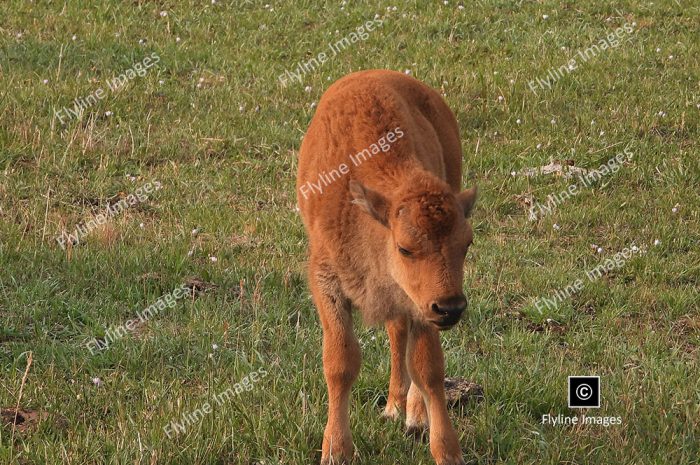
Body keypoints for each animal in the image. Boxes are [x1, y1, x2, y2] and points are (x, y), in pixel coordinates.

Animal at [296, 69, 476, 464]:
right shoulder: (327, 282)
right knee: (396, 332)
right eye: (405, 248)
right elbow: (341, 362)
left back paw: (410, 414)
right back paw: (394, 406)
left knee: (402, 338)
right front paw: (336, 450)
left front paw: (444, 448)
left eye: (467, 244)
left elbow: (428, 368)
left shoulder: (421, 304)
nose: (452, 308)